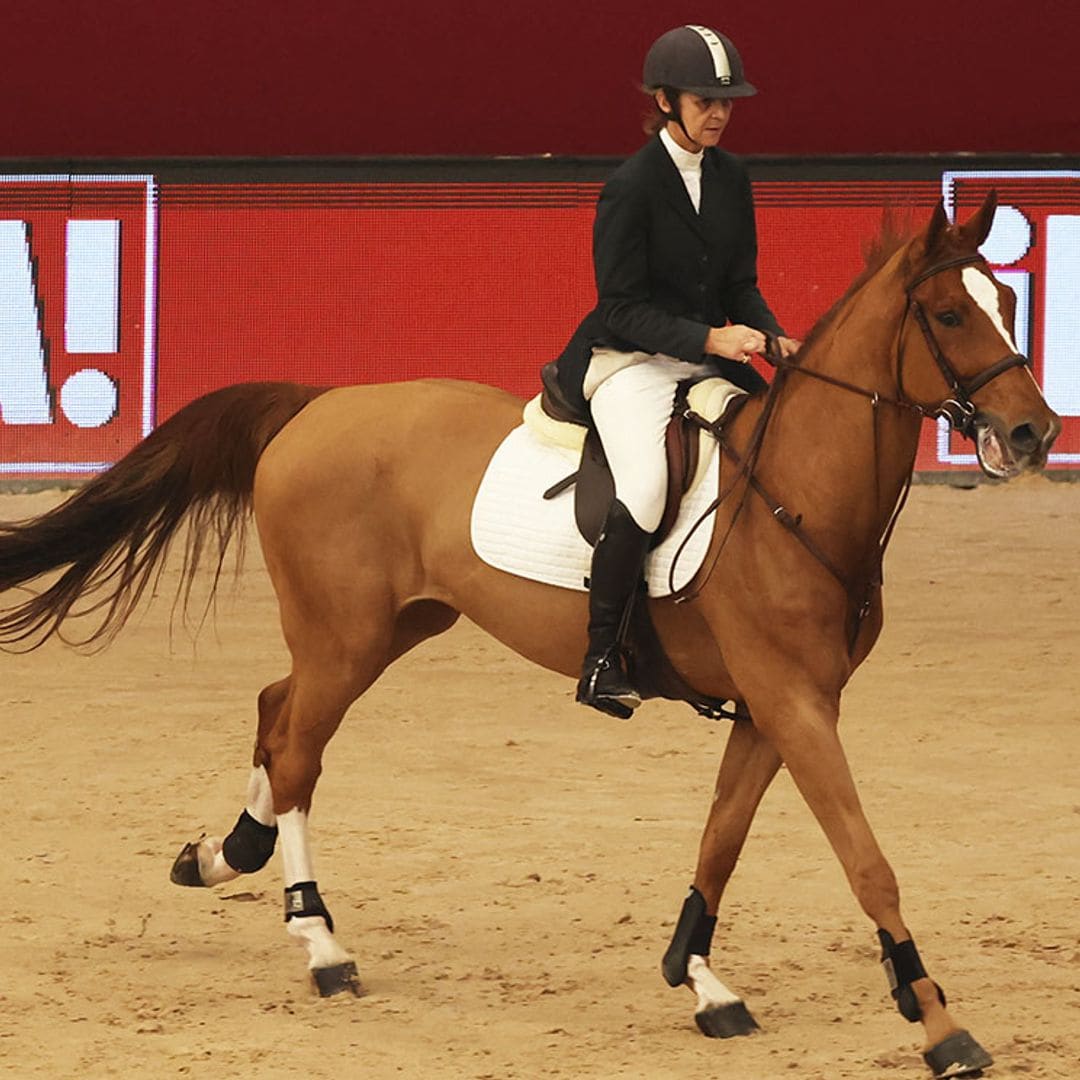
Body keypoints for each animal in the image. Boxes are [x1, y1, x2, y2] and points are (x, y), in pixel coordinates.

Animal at [0, 190, 1062, 1075]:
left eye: (1009, 302)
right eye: (951, 315)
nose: (1034, 435)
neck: (793, 494)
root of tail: (319, 403)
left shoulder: (776, 707)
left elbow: (722, 837)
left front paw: (702, 981)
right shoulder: (794, 704)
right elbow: (868, 861)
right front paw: (939, 1024)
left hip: (388, 627)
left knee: (275, 709)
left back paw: (226, 855)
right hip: (346, 637)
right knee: (299, 745)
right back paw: (322, 943)